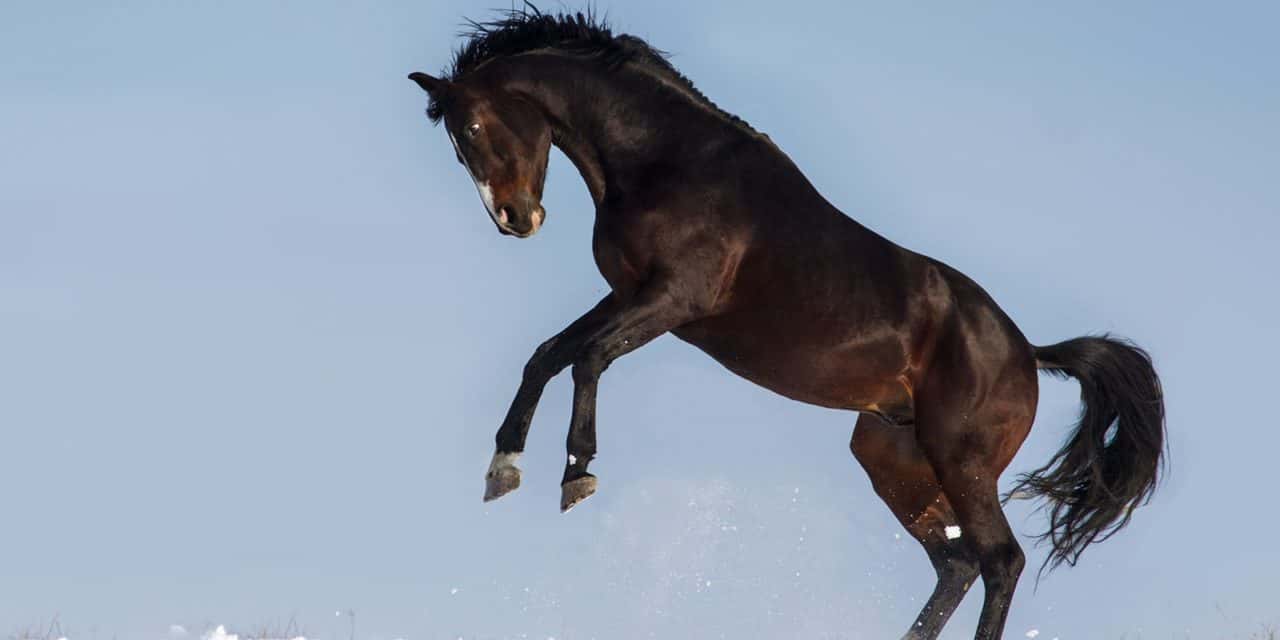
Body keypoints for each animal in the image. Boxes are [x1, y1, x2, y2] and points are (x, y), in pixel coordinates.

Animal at [408, 8, 1165, 639]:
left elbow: (588, 358)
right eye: (457, 145)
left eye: (473, 129)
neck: (667, 161)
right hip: (895, 458)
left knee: (1000, 560)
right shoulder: (626, 295)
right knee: (956, 563)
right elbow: (546, 355)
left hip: (960, 459)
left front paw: (578, 475)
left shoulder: (672, 301)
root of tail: (1027, 352)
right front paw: (503, 468)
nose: (515, 220)